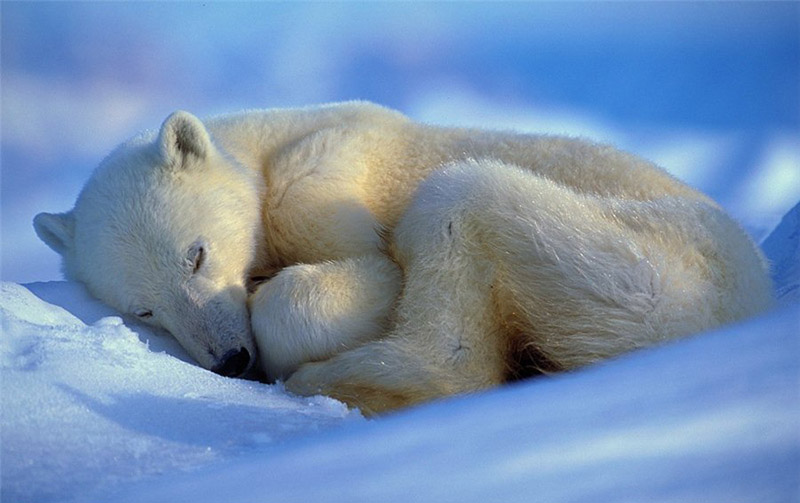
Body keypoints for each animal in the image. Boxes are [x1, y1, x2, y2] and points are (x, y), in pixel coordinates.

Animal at [36, 101, 776, 414]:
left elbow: (374, 271)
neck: (266, 145)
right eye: (145, 310)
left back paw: (330, 381)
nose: (231, 360)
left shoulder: (318, 177)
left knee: (455, 207)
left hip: (642, 263)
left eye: (196, 254)